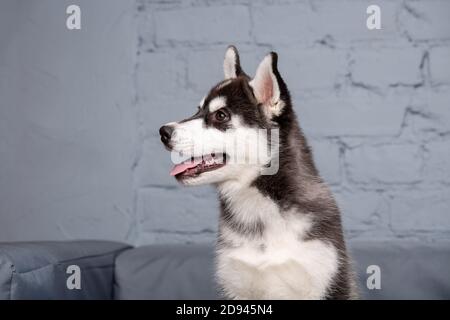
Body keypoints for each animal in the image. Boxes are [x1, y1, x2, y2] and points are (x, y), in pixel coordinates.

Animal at [160, 46, 356, 298]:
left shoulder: (327, 278)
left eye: (221, 115)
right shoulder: (235, 284)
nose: (163, 132)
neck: (261, 209)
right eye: (198, 110)